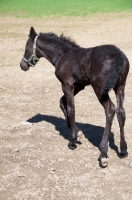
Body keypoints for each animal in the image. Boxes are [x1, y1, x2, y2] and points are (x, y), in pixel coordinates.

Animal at [20, 27, 129, 167]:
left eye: (27, 48)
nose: (22, 65)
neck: (62, 55)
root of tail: (118, 56)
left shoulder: (67, 84)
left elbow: (71, 109)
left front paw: (72, 141)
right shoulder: (78, 86)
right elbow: (62, 102)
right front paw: (78, 132)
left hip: (100, 90)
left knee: (110, 110)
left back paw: (103, 153)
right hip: (120, 87)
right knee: (121, 112)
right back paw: (123, 149)